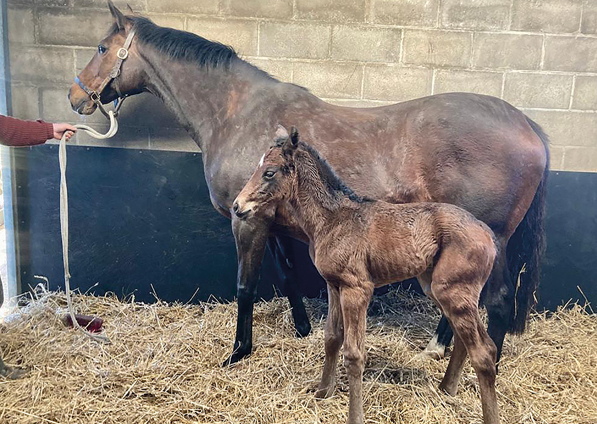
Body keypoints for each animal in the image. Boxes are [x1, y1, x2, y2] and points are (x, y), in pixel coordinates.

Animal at [233, 126, 498, 424]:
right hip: (436, 288)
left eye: (269, 172)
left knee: (484, 351)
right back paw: (446, 389)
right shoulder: (333, 285)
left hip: (452, 290)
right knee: (465, 340)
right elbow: (332, 338)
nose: (237, 206)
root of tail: (488, 234)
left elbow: (354, 353)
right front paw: (323, 392)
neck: (331, 219)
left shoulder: (356, 288)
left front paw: (354, 415)